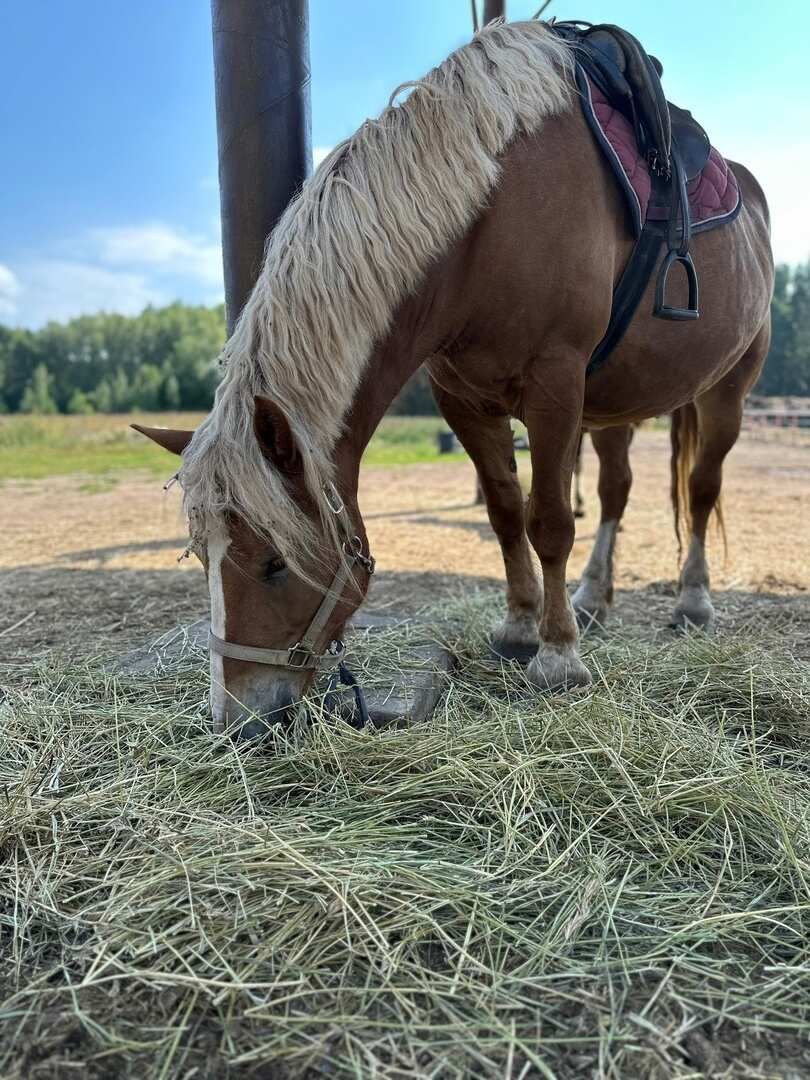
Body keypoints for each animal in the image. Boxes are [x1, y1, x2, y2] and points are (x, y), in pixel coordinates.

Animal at [133, 21, 773, 734]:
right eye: (203, 557)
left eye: (274, 565)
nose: (238, 722)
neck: (491, 219)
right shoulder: (463, 400)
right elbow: (505, 512)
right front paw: (520, 627)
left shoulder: (555, 386)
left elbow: (550, 520)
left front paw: (557, 659)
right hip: (615, 406)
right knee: (616, 490)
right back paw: (593, 597)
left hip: (725, 394)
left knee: (701, 489)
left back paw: (692, 601)